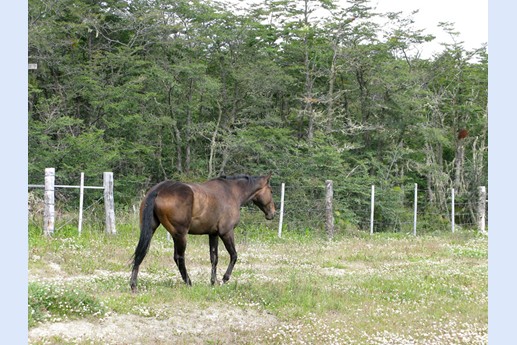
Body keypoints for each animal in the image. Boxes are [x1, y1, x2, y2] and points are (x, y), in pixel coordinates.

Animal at [130, 172, 274, 290]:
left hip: (151, 230)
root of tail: (159, 190)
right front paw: (224, 279)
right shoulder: (226, 232)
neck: (232, 193)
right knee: (179, 257)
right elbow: (234, 255)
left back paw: (133, 285)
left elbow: (214, 258)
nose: (272, 213)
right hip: (180, 235)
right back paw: (188, 283)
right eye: (271, 191)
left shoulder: (213, 234)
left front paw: (213, 282)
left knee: (141, 253)